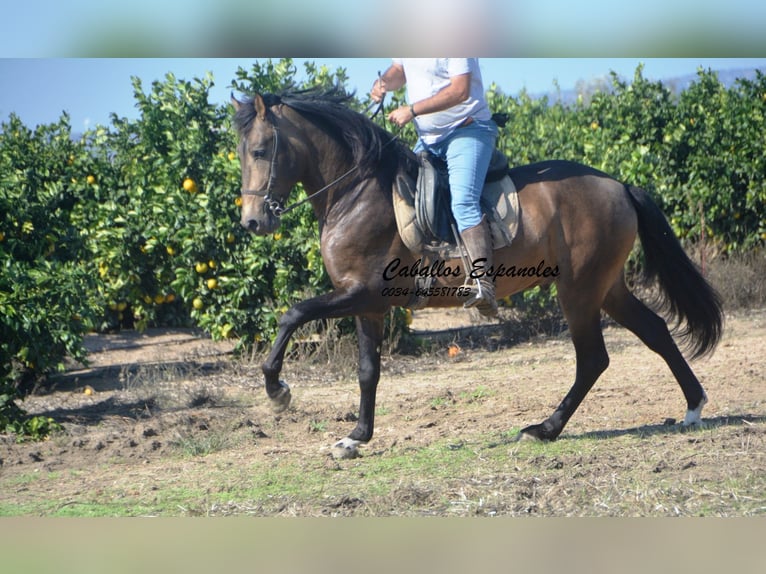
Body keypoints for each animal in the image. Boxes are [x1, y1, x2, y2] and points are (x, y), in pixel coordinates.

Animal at [231, 86, 724, 464]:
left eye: (260, 150)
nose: (252, 222)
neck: (356, 193)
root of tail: (619, 185)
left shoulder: (364, 293)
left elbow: (292, 315)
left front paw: (277, 390)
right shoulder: (367, 305)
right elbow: (368, 370)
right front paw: (355, 438)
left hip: (579, 290)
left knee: (593, 359)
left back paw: (545, 429)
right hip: (606, 287)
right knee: (655, 331)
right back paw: (693, 408)